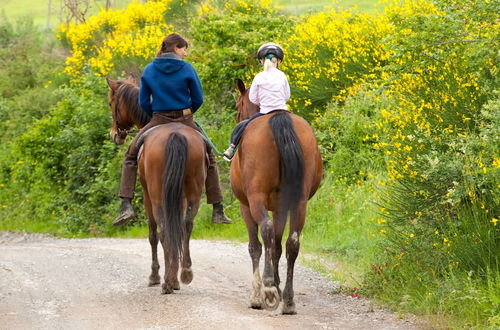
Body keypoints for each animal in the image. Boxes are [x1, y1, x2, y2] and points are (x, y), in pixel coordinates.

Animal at [105, 75, 207, 294]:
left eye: (111, 103)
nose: (114, 134)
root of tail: (175, 134)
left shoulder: (147, 196)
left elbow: (152, 234)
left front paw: (155, 276)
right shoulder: (179, 197)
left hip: (156, 195)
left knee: (162, 230)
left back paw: (167, 282)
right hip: (193, 191)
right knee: (186, 226)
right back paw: (184, 274)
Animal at [231, 79, 324, 314]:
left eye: (237, 106)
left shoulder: (245, 206)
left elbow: (256, 246)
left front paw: (260, 293)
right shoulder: (280, 208)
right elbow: (277, 246)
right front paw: (278, 285)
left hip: (255, 200)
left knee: (265, 230)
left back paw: (268, 289)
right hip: (299, 204)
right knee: (293, 243)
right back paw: (288, 300)